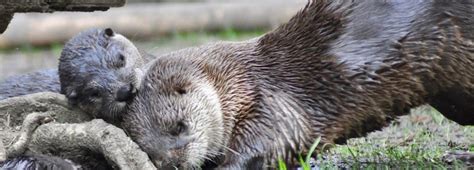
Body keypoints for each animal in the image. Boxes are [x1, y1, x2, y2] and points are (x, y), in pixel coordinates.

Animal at [123, 0, 474, 169]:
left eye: (179, 126)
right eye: (148, 149)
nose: (175, 164)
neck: (240, 80)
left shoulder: (273, 103)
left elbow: (274, 141)